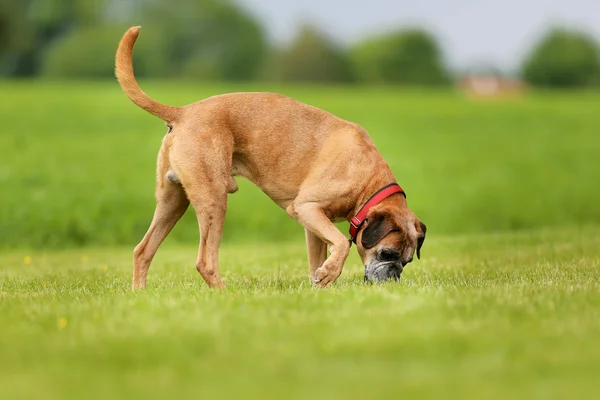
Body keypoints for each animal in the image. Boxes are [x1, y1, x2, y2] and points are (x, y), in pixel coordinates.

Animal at [116, 26, 426, 290]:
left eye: (407, 260)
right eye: (387, 253)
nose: (393, 281)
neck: (368, 184)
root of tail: (184, 112)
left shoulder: (313, 223)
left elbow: (320, 256)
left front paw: (320, 283)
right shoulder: (306, 207)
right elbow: (342, 242)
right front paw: (329, 273)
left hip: (173, 201)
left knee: (143, 250)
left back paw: (140, 294)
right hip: (214, 200)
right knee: (205, 261)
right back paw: (224, 294)